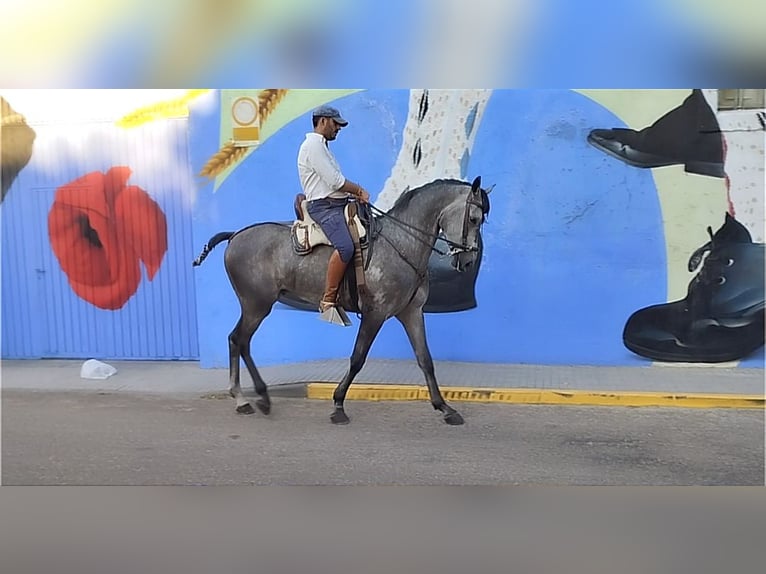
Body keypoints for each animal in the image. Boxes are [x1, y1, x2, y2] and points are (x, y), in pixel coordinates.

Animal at [192, 178, 492, 426]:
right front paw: (338, 405)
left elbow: (425, 360)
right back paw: (254, 398)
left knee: (238, 341)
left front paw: (445, 408)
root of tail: (235, 235)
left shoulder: (411, 312)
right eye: (474, 218)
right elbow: (357, 358)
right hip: (256, 305)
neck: (401, 243)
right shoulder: (375, 313)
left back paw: (250, 399)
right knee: (239, 340)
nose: (468, 260)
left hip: (255, 306)